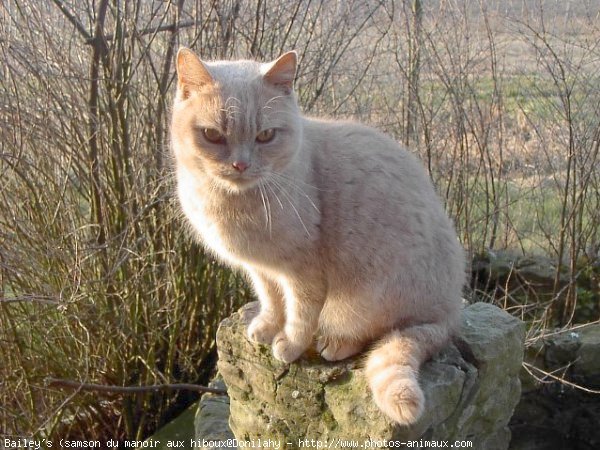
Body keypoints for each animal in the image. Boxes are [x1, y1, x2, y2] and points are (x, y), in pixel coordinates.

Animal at [171, 49, 466, 426]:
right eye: (212, 135)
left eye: (266, 136)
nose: (241, 165)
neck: (233, 204)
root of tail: (451, 312)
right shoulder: (262, 269)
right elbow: (271, 299)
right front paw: (267, 326)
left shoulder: (303, 271)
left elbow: (300, 313)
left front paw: (290, 344)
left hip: (372, 295)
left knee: (378, 333)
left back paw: (335, 343)